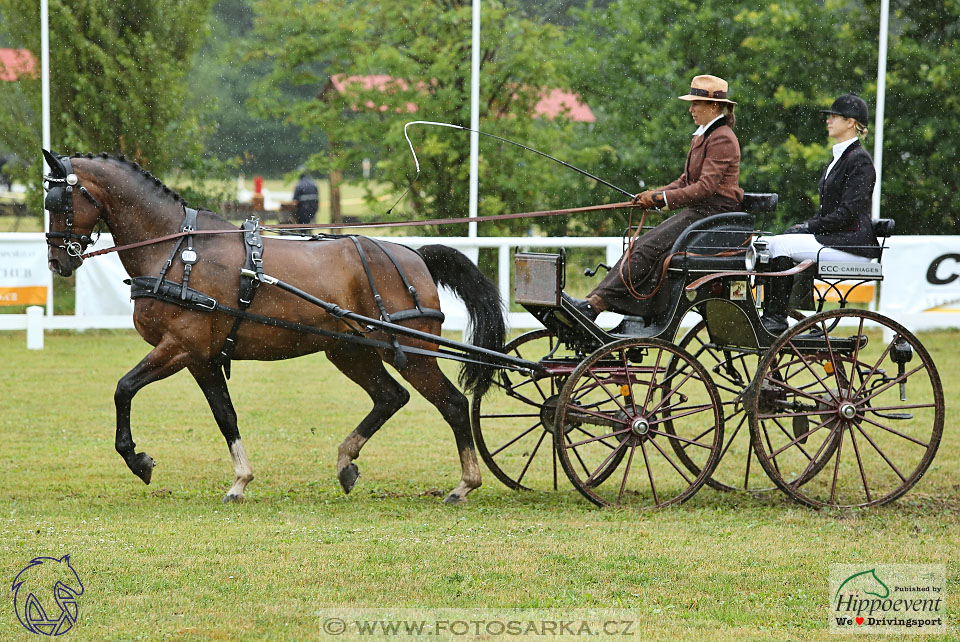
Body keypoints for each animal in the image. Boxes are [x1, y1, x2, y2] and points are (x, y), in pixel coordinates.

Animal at [41, 148, 506, 502]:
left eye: (58, 203)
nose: (57, 262)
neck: (177, 251)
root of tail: (414, 256)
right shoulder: (202, 359)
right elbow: (225, 416)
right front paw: (240, 480)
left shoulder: (179, 347)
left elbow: (124, 388)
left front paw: (138, 460)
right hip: (349, 351)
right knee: (390, 397)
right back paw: (346, 462)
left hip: (411, 352)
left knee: (452, 404)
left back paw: (465, 484)